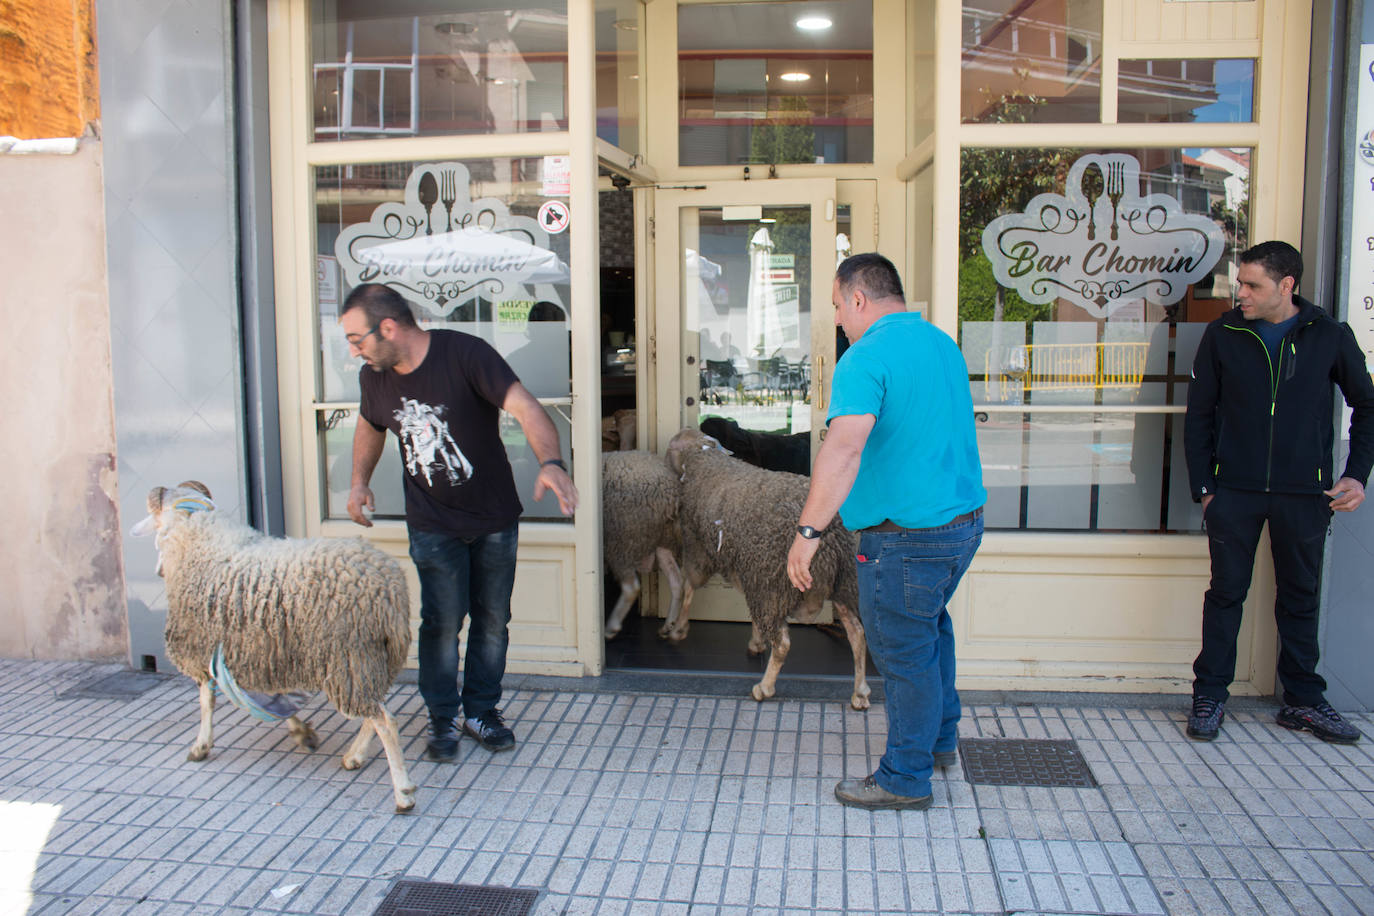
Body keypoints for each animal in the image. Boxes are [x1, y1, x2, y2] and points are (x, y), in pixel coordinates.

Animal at [132, 483, 417, 813]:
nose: (157, 570)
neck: (202, 543)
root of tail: (389, 586)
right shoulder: (264, 653)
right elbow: (276, 699)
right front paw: (302, 732)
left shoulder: (206, 649)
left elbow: (207, 703)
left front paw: (200, 746)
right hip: (371, 661)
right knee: (375, 712)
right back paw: (354, 756)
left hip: (350, 659)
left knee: (385, 722)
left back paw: (403, 793)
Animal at [604, 450, 684, 637]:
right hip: (662, 541)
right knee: (678, 583)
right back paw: (668, 625)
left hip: (623, 538)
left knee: (631, 588)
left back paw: (611, 627)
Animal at [665, 425, 868, 714]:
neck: (704, 461)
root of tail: (831, 537)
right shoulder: (749, 566)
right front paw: (756, 641)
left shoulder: (699, 547)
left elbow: (689, 586)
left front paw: (679, 629)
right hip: (844, 581)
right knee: (857, 633)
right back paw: (860, 692)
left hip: (775, 585)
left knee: (782, 643)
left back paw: (764, 687)